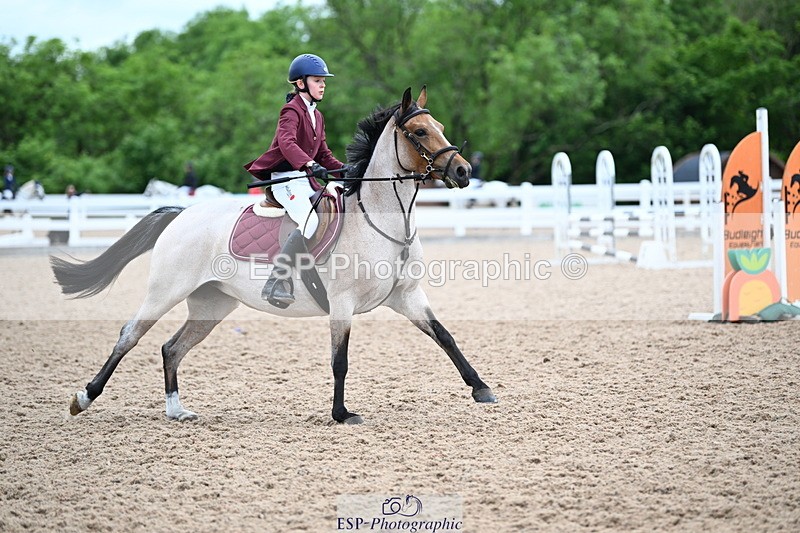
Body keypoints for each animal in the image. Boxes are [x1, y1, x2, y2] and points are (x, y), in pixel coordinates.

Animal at [51, 87, 496, 424]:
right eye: (420, 131)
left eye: (440, 128)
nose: (462, 172)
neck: (380, 219)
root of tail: (182, 213)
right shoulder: (342, 303)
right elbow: (340, 360)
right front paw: (341, 414)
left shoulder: (407, 297)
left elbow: (445, 336)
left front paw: (481, 388)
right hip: (166, 290)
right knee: (130, 335)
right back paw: (84, 398)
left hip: (212, 304)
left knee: (171, 348)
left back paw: (177, 411)